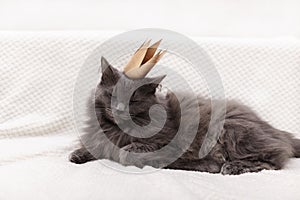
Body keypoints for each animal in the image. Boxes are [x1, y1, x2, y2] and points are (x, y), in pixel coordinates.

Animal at [69, 56, 300, 175]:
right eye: (112, 95)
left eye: (133, 101)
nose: (118, 109)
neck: (116, 129)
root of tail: (276, 131)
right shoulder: (99, 139)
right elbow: (93, 146)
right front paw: (77, 155)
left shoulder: (163, 142)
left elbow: (127, 151)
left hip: (233, 131)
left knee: (273, 160)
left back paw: (230, 167)